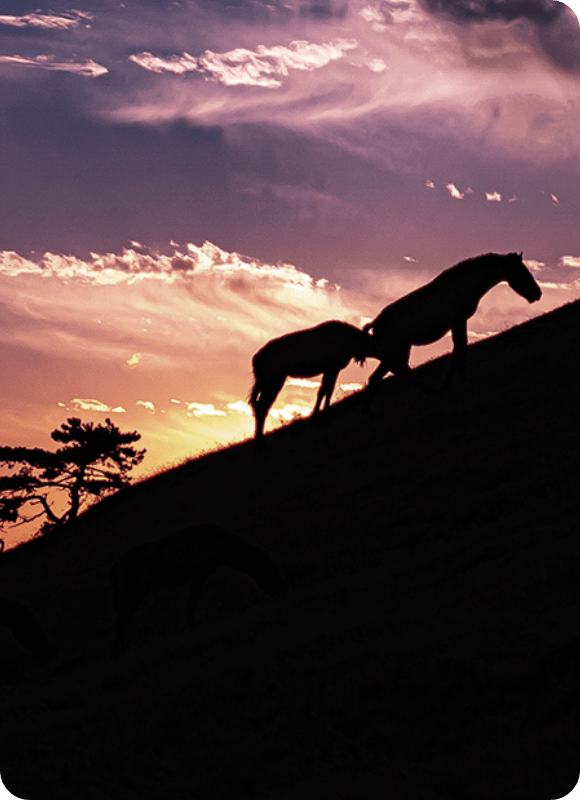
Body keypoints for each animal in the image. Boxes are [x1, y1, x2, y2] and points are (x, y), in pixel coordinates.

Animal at [110, 520, 286, 660]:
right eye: (269, 571)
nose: (280, 592)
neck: (219, 544)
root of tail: (118, 563)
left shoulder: (198, 579)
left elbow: (191, 606)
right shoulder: (198, 578)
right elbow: (191, 605)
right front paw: (187, 631)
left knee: (121, 621)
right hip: (135, 595)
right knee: (121, 621)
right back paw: (118, 654)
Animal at [364, 252, 540, 406]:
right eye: (520, 271)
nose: (537, 294)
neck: (461, 286)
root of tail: (376, 324)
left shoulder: (460, 322)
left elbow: (460, 348)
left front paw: (456, 380)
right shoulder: (457, 322)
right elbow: (459, 348)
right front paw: (455, 380)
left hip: (396, 353)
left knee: (384, 376)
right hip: (396, 352)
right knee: (391, 374)